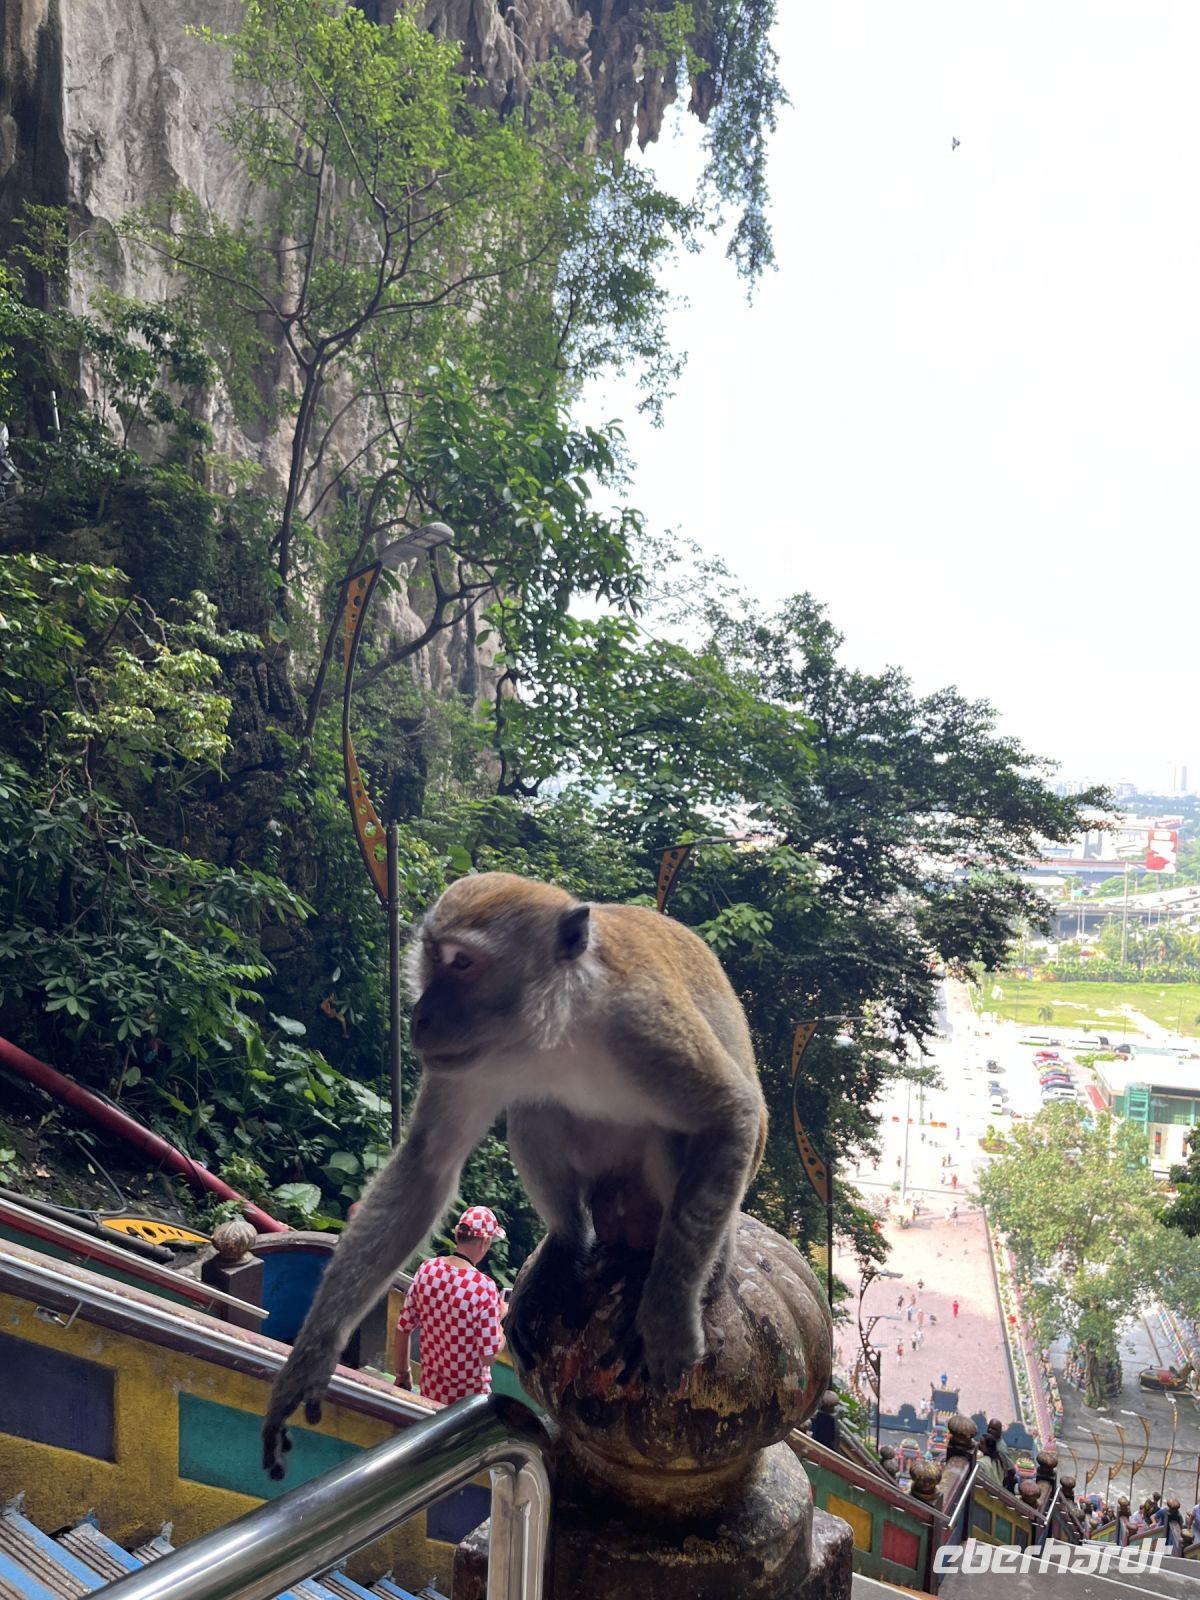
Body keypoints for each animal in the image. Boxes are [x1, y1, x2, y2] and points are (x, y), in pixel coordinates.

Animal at [262, 871, 767, 1478]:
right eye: (432, 959)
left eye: (463, 963)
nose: (422, 1015)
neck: (559, 1029)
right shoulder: (477, 1059)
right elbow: (428, 1162)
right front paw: (311, 1358)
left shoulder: (644, 1026)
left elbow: (732, 1116)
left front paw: (667, 1315)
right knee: (535, 1109)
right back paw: (568, 1245)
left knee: (682, 1144)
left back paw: (692, 1278)